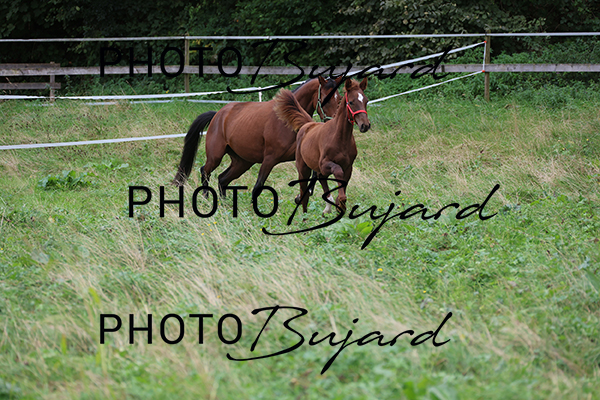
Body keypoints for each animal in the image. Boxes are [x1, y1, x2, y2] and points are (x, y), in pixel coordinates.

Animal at [173, 76, 342, 198]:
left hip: (242, 162)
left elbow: (315, 173)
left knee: (222, 179)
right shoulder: (269, 159)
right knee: (205, 171)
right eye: (326, 98)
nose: (334, 122)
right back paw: (206, 198)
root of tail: (217, 115)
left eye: (339, 98)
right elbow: (258, 187)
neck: (288, 118)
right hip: (216, 156)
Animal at [274, 77, 370, 214]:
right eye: (351, 102)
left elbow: (342, 183)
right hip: (303, 169)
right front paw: (339, 202)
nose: (365, 125)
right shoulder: (324, 164)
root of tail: (308, 124)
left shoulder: (348, 167)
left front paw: (339, 205)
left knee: (320, 180)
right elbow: (337, 171)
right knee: (305, 194)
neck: (340, 138)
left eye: (366, 100)